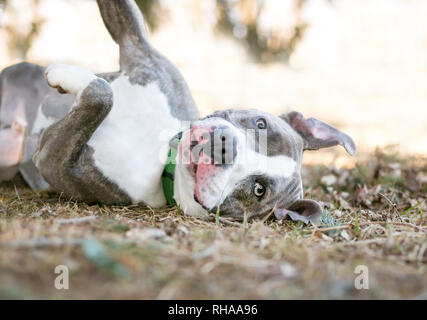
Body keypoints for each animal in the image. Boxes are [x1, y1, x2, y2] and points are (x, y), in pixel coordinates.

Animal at [0, 0, 356, 222]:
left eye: (258, 190)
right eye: (261, 124)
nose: (226, 147)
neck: (161, 151)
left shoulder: (54, 158)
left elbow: (102, 95)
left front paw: (65, 75)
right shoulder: (137, 45)